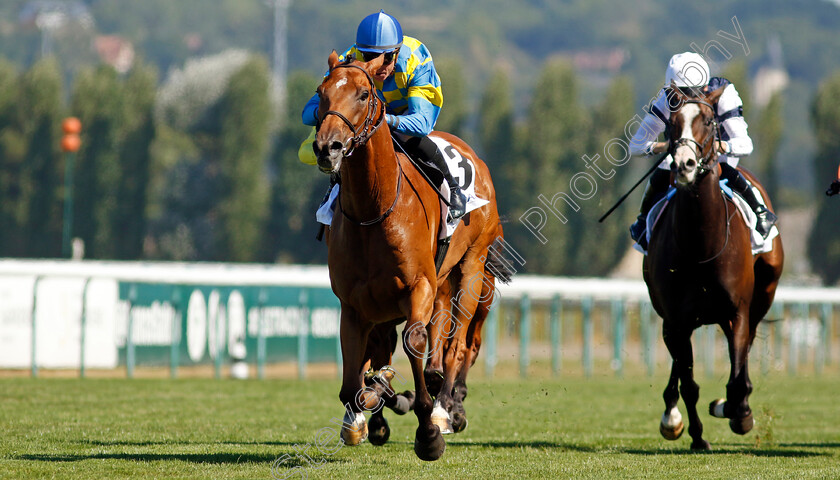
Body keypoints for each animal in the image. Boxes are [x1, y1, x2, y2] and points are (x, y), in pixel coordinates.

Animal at [314, 51, 506, 462]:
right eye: (321, 93)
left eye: (363, 93)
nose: (327, 147)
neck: (376, 208)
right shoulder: (355, 303)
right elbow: (358, 369)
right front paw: (362, 415)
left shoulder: (419, 286)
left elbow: (416, 342)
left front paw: (428, 430)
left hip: (472, 266)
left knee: (456, 345)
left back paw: (445, 408)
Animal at [644, 86, 788, 450]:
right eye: (672, 123)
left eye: (709, 121)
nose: (684, 164)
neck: (702, 245)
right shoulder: (677, 317)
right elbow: (689, 383)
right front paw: (694, 434)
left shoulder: (736, 310)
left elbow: (736, 380)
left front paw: (738, 412)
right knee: (680, 364)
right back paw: (672, 416)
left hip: (762, 295)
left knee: (745, 348)